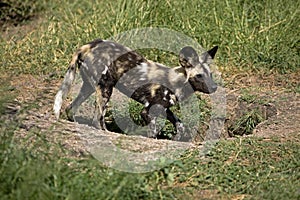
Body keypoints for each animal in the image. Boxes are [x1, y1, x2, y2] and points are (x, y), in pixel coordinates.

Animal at [54, 38, 218, 140]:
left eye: (210, 75)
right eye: (199, 76)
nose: (214, 87)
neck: (176, 82)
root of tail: (91, 44)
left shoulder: (165, 109)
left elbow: (180, 125)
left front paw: (177, 138)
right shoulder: (146, 111)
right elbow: (153, 131)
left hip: (89, 88)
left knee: (70, 108)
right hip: (106, 89)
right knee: (97, 119)